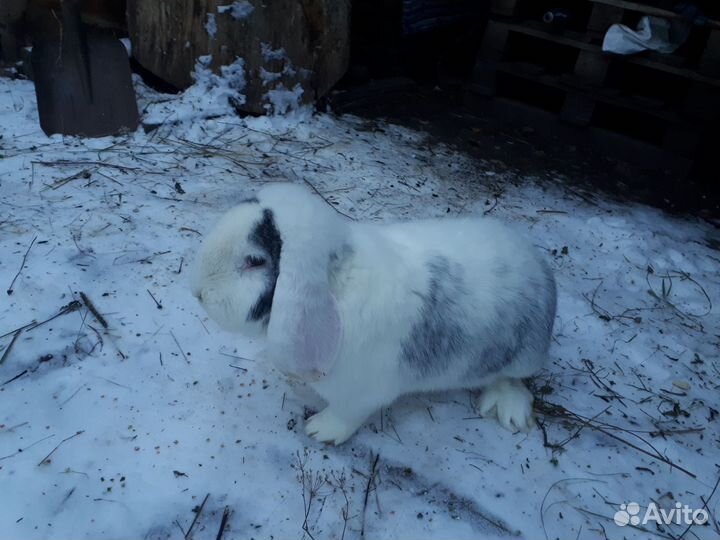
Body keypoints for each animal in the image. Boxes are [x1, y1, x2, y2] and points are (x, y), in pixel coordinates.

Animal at [191, 183, 557, 445]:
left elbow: (346, 415)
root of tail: (540, 268)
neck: (337, 283)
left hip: (520, 357)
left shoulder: (362, 392)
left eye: (255, 261)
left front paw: (319, 431)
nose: (198, 291)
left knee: (511, 379)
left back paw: (509, 409)